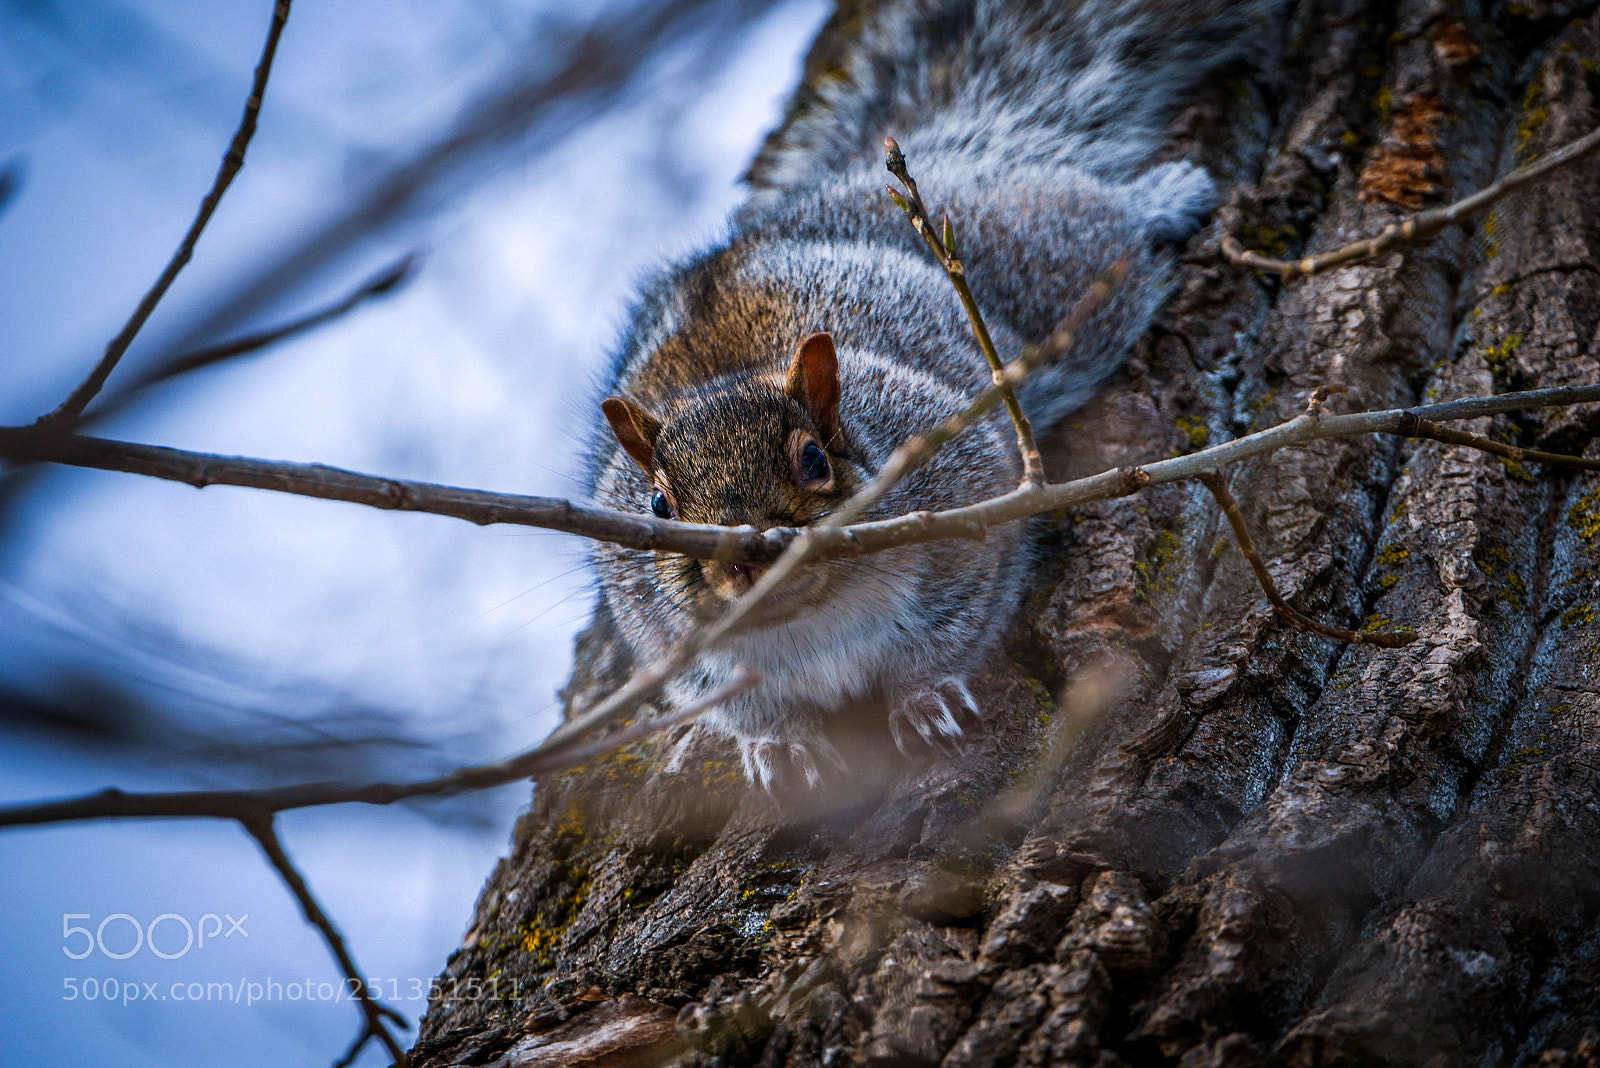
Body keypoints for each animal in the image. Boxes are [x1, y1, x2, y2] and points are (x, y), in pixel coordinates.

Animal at [588, 0, 1285, 786]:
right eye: (657, 505)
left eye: (814, 462)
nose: (747, 559)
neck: (810, 620)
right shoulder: (671, 644)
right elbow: (738, 705)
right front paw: (780, 743)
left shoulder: (966, 507)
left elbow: (956, 623)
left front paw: (925, 697)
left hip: (1048, 271)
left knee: (1094, 219)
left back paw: (1164, 194)